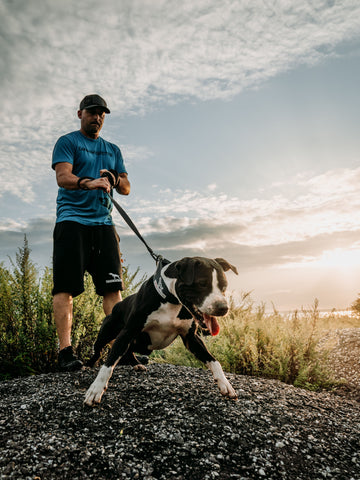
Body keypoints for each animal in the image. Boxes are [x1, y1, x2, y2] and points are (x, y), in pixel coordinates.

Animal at [84, 255, 239, 404]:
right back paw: (88, 364)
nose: (223, 308)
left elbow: (214, 361)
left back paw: (136, 364)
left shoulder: (192, 338)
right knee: (98, 351)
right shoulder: (128, 332)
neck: (171, 300)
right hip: (106, 333)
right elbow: (108, 365)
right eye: (202, 283)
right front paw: (95, 390)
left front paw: (225, 384)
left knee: (127, 351)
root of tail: (117, 305)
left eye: (224, 286)